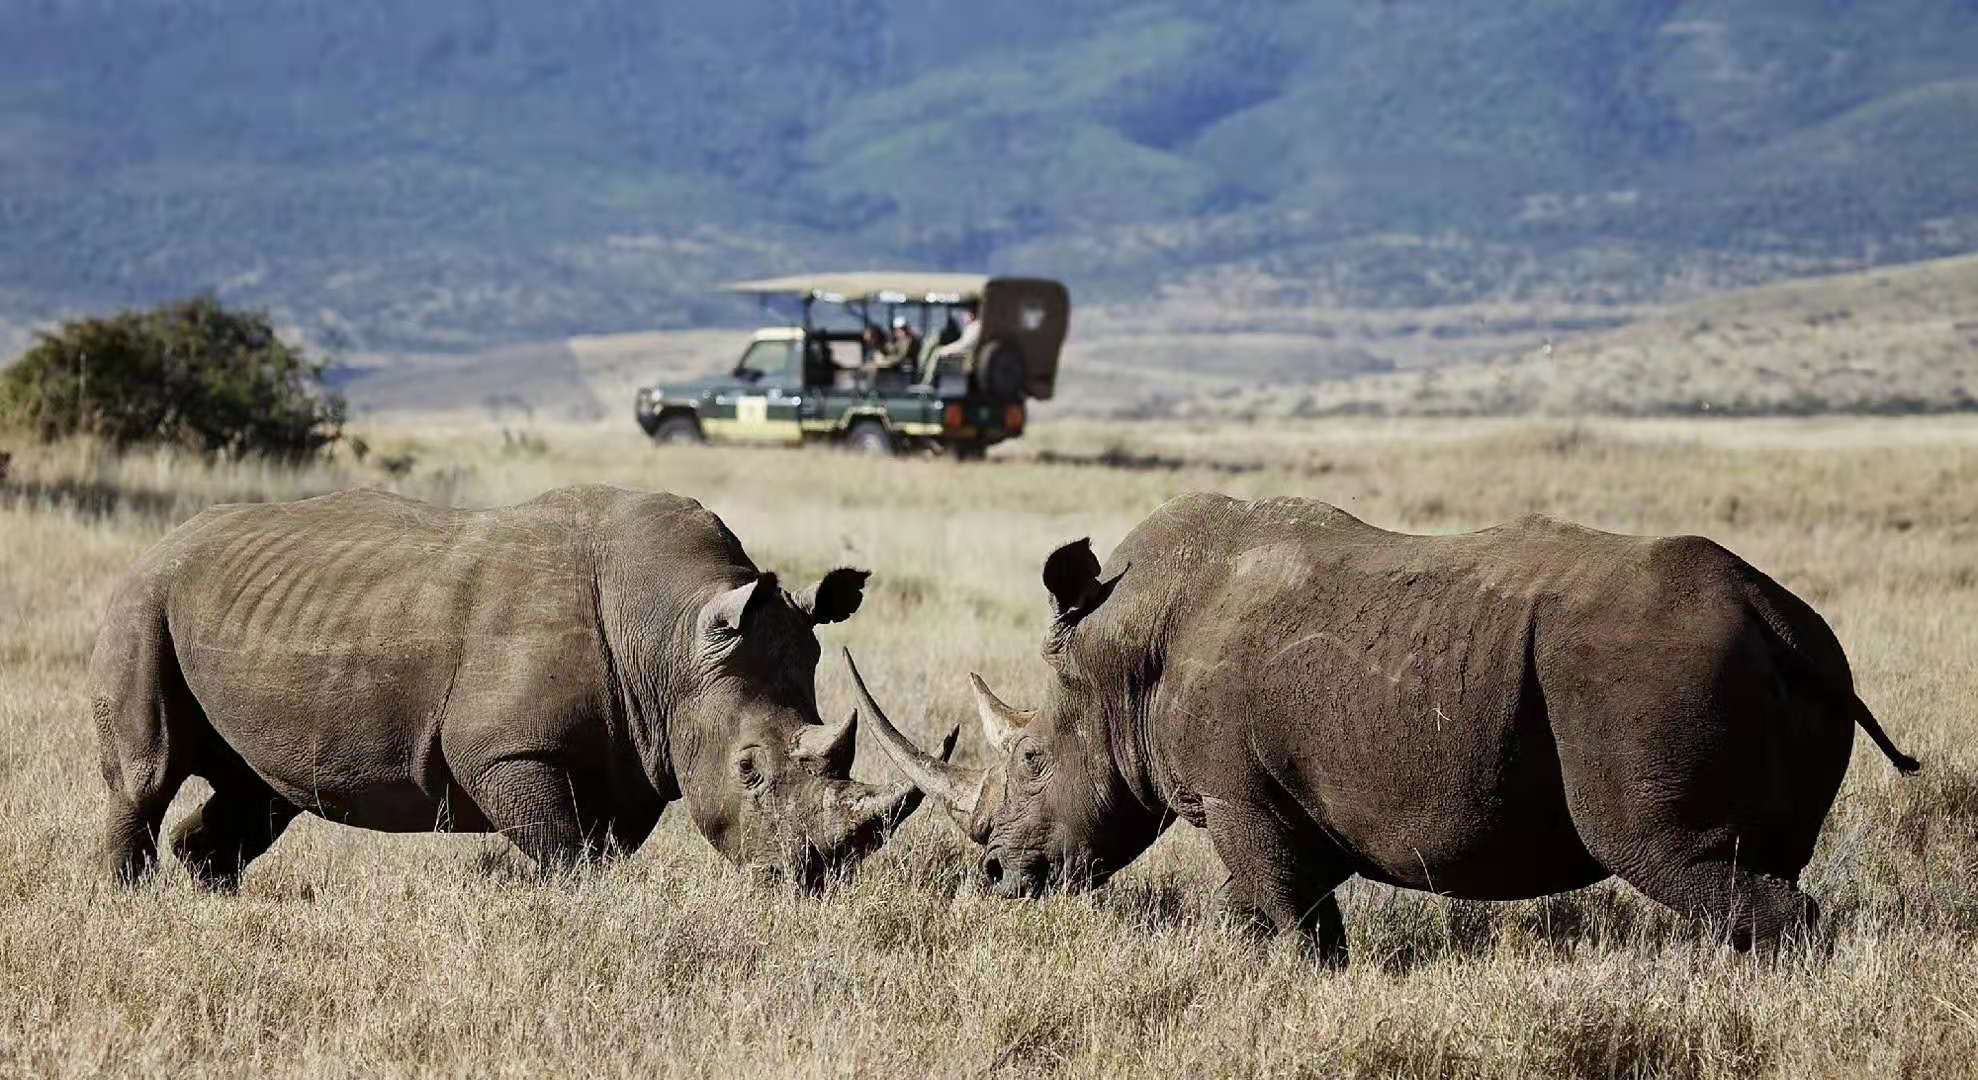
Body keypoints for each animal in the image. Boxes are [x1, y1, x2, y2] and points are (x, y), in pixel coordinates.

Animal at [85, 482, 933, 886]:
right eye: (750, 770)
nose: (814, 879)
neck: (671, 637)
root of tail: (157, 545)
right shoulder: (504, 749)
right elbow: (566, 855)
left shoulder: (634, 757)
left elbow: (597, 853)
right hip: (142, 602)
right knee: (147, 775)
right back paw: (132, 903)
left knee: (260, 793)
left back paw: (210, 898)